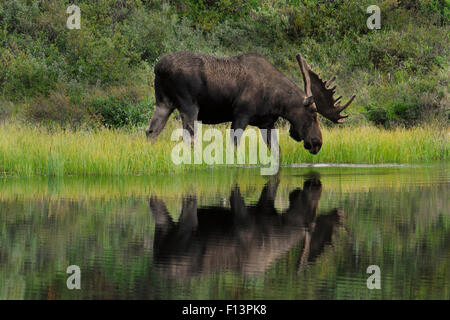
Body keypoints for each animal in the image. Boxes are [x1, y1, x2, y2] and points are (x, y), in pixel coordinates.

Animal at [145, 51, 356, 154]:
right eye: (313, 113)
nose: (317, 143)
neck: (278, 101)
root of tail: (159, 67)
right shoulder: (241, 114)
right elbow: (234, 145)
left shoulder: (266, 123)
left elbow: (277, 152)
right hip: (188, 105)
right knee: (189, 137)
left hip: (163, 102)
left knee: (151, 131)